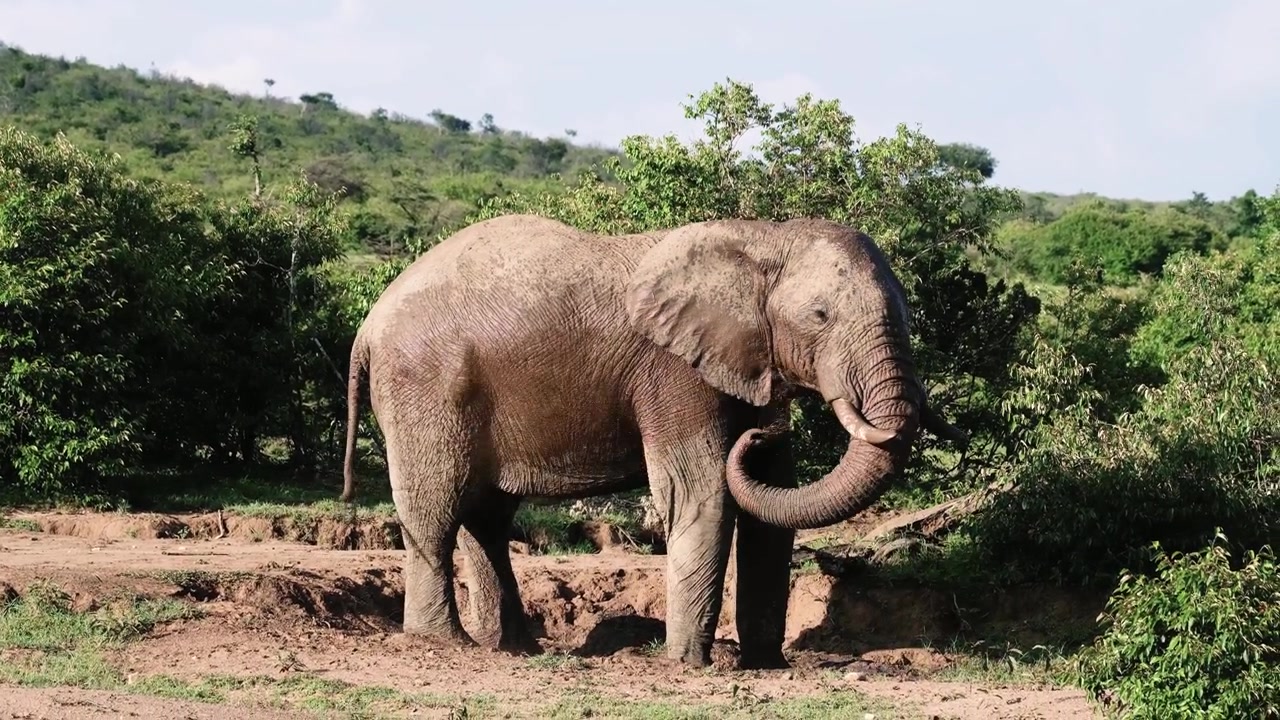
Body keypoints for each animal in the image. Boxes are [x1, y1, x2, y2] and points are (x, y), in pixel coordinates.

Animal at [340, 213, 968, 669]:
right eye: (820, 315)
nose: (762, 432)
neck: (763, 239)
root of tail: (367, 327)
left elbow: (770, 506)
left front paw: (768, 667)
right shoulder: (674, 373)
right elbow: (703, 493)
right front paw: (689, 666)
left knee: (486, 517)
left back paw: (516, 648)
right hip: (426, 388)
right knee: (437, 509)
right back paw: (446, 645)